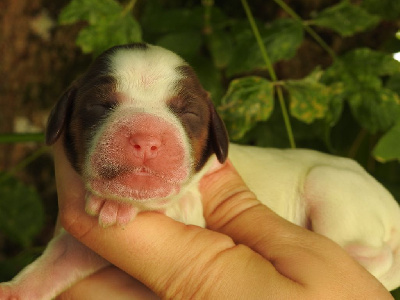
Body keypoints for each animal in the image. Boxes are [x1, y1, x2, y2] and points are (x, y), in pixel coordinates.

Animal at [0, 42, 400, 298]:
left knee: (378, 255)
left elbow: (173, 203)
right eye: (99, 105)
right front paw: (16, 291)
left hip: (331, 184)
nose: (146, 139)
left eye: (188, 112)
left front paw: (118, 204)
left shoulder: (196, 206)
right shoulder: (83, 248)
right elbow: (54, 265)